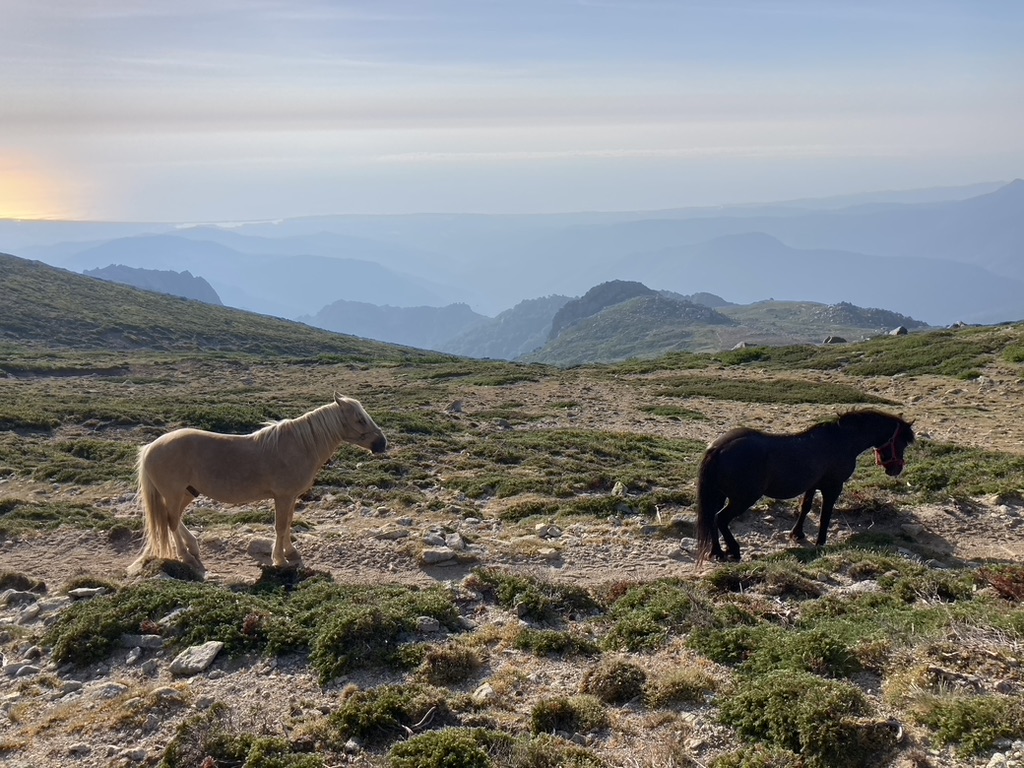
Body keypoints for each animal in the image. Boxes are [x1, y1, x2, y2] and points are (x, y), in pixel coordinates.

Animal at [128, 397, 385, 577]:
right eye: (359, 419)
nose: (382, 443)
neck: (299, 446)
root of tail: (150, 447)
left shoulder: (290, 497)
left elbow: (288, 523)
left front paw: (290, 553)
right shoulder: (283, 496)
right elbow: (280, 526)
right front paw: (280, 560)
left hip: (188, 492)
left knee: (175, 519)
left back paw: (193, 548)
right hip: (174, 493)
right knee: (171, 521)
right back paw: (186, 556)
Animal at [696, 409, 913, 565]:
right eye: (901, 441)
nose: (896, 469)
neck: (841, 441)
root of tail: (719, 448)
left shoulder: (814, 484)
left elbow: (805, 507)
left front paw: (797, 534)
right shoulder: (833, 486)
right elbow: (825, 514)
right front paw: (820, 542)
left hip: (720, 495)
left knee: (712, 519)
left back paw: (717, 552)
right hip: (743, 498)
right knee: (720, 519)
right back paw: (734, 550)